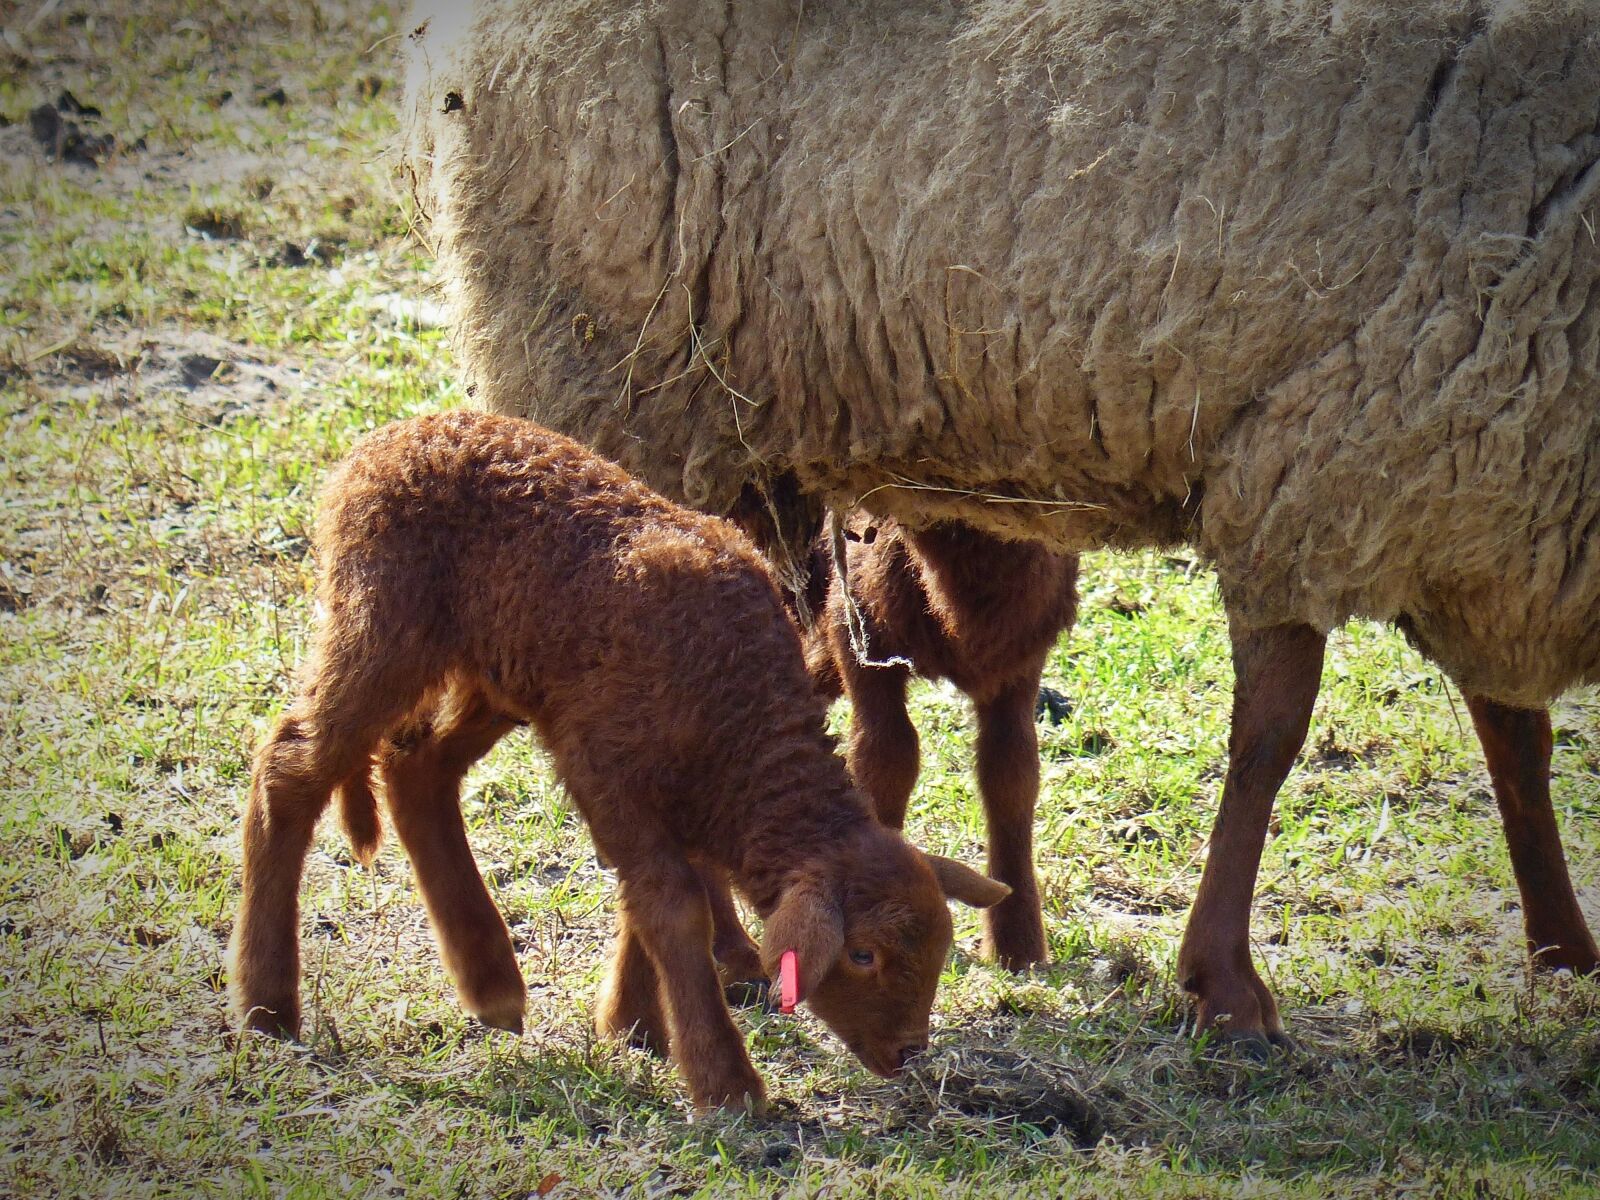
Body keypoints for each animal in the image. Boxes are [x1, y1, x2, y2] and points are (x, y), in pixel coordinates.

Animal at [225, 410, 1009, 1112]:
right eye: (862, 955)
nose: (908, 1052)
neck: (738, 717)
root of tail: (390, 439)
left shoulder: (671, 791)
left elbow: (653, 894)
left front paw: (635, 1027)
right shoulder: (604, 764)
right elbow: (671, 905)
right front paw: (725, 1082)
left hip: (499, 674)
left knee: (418, 770)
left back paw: (491, 985)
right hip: (383, 624)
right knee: (291, 767)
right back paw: (267, 1005)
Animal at [400, 0, 1600, 1044]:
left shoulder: (1475, 490)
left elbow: (1513, 735)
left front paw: (1562, 947)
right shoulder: (1322, 464)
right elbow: (1271, 737)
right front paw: (1225, 983)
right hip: (618, 381)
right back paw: (640, 1007)